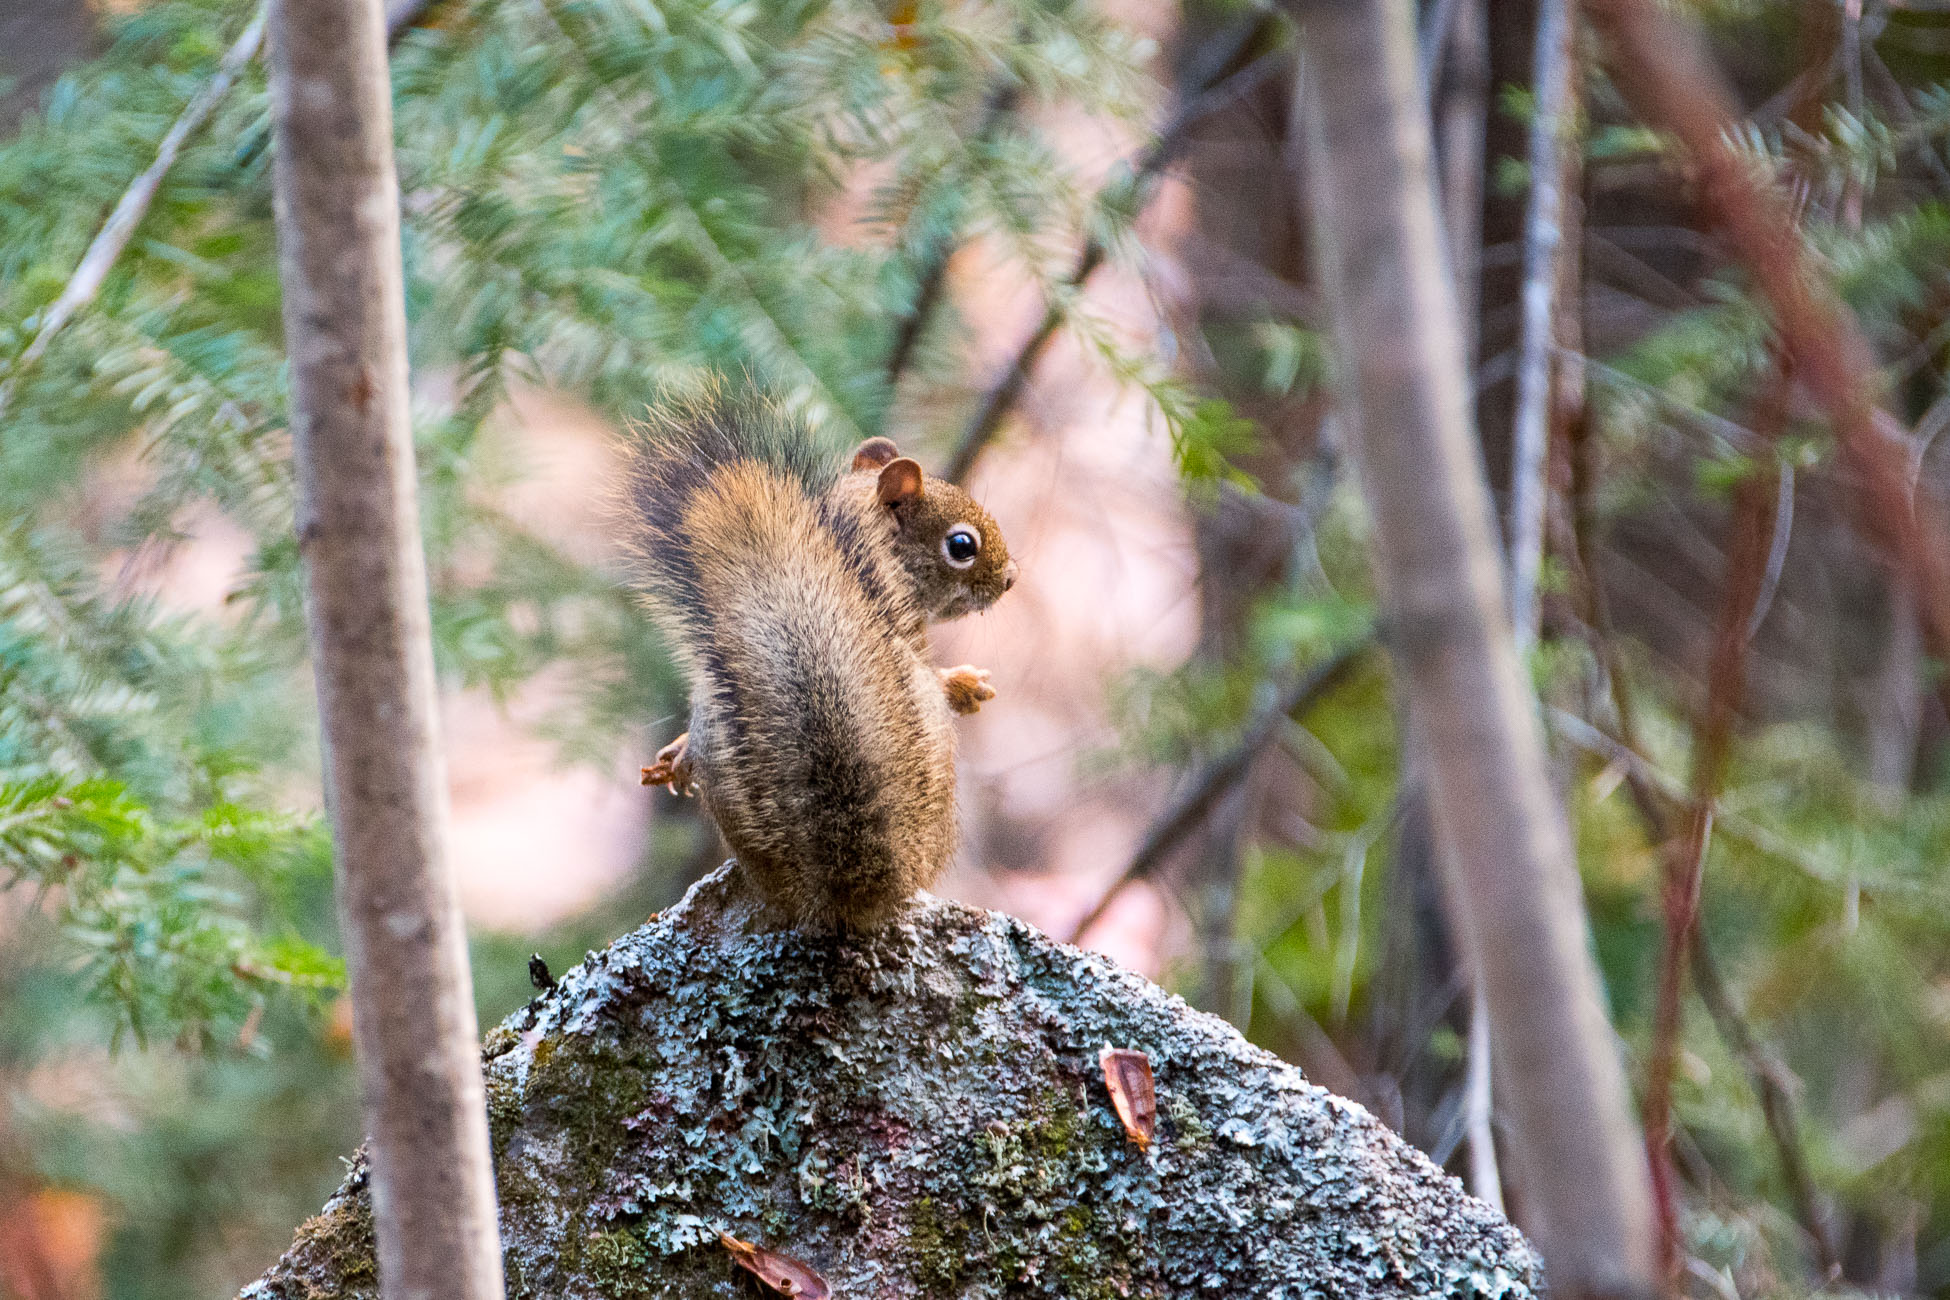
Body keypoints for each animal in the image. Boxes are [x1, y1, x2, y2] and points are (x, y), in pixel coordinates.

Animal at [624, 389, 1021, 935]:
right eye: (962, 545)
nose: (1011, 578)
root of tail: (852, 887)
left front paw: (676, 756)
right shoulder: (903, 626)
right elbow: (936, 677)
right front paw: (964, 685)